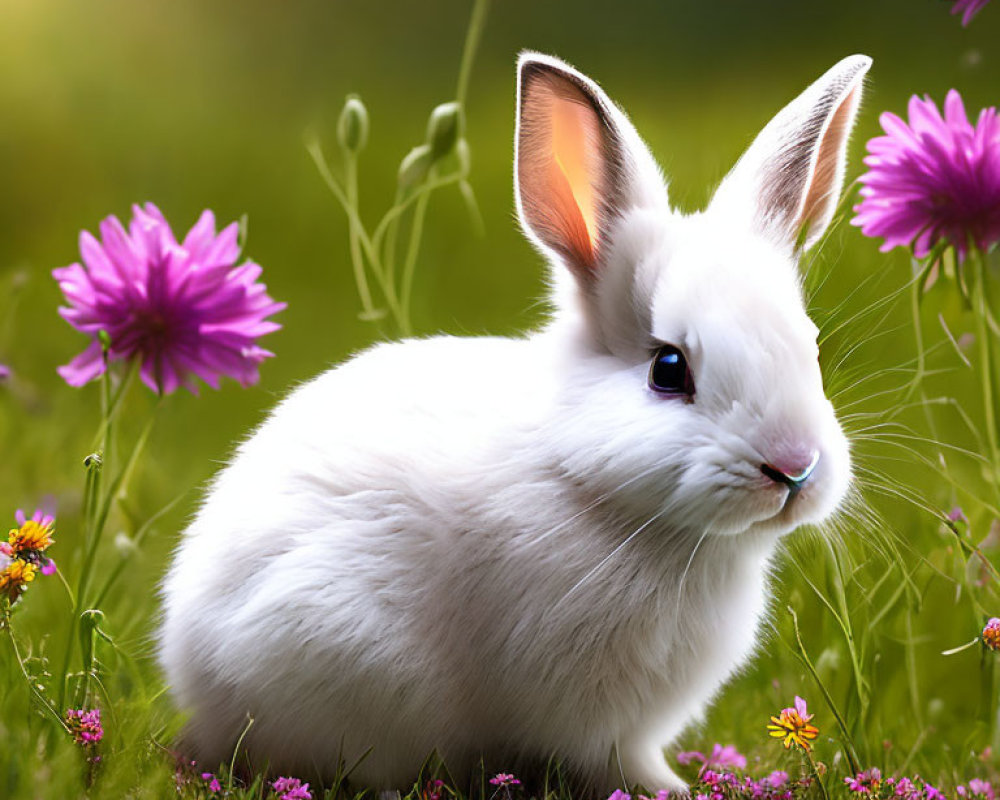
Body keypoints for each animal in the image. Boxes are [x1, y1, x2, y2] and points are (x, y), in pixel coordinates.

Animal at [156, 51, 868, 792]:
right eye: (668, 369)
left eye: (812, 348)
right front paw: (671, 790)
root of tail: (194, 675)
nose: (794, 468)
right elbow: (616, 760)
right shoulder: (593, 720)